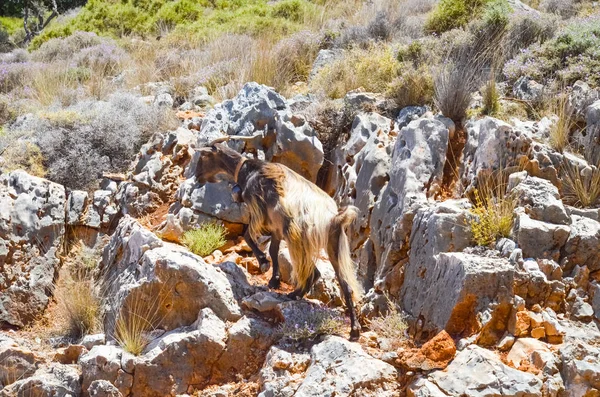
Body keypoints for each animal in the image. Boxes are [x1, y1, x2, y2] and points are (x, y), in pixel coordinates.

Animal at [195, 136, 360, 338]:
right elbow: (273, 250)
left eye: (203, 156)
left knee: (312, 271)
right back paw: (354, 329)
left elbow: (249, 237)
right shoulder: (276, 229)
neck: (250, 170)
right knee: (344, 284)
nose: (197, 176)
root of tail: (333, 218)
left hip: (298, 237)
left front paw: (264, 264)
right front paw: (274, 278)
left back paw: (295, 294)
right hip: (333, 245)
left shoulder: (260, 214)